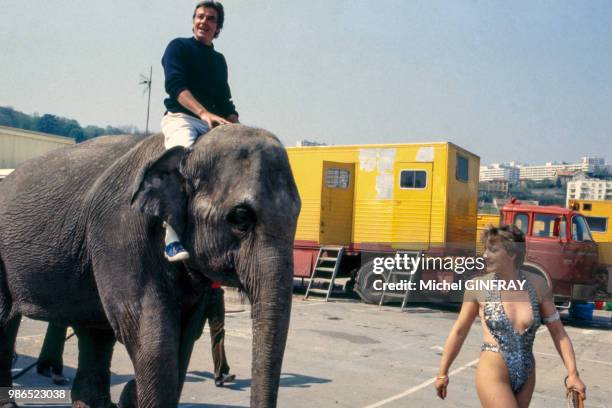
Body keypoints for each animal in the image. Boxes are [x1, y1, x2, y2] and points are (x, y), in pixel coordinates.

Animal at [0, 125, 302, 408]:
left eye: (297, 214)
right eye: (240, 217)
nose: (128, 389)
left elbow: (186, 333)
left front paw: (130, 396)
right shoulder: (119, 231)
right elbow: (150, 335)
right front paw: (133, 393)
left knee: (95, 331)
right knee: (6, 319)